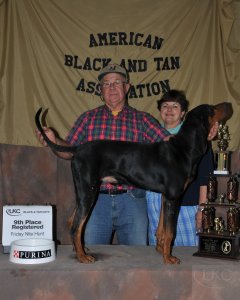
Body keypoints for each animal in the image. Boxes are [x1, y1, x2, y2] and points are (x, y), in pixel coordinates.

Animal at [35, 102, 232, 264]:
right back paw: (83, 257)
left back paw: (80, 250)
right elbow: (170, 232)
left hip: (85, 192)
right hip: (88, 193)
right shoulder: (173, 197)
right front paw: (168, 258)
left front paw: (160, 250)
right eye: (212, 109)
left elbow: (161, 229)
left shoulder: (165, 197)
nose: (228, 104)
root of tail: (78, 148)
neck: (184, 148)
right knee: (76, 226)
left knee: (72, 221)